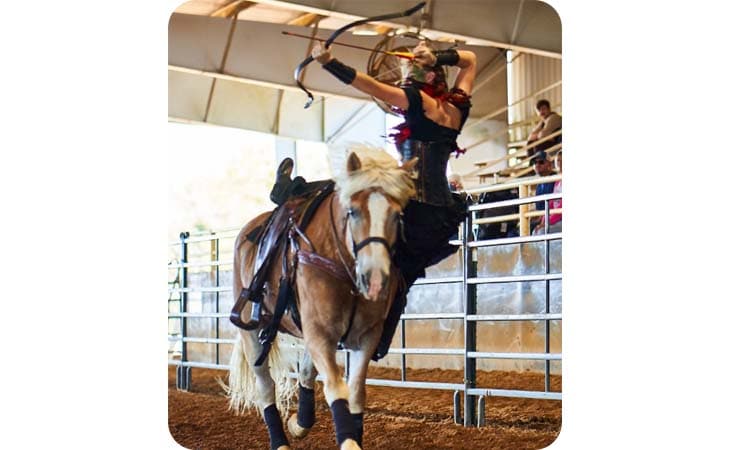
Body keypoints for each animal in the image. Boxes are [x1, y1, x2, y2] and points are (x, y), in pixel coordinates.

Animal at [225, 146, 418, 450]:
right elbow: (336, 389)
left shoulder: (366, 337)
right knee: (266, 387)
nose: (375, 279)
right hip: (251, 332)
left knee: (304, 373)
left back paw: (299, 424)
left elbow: (355, 393)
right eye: (352, 211)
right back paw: (280, 441)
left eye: (397, 216)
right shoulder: (320, 335)